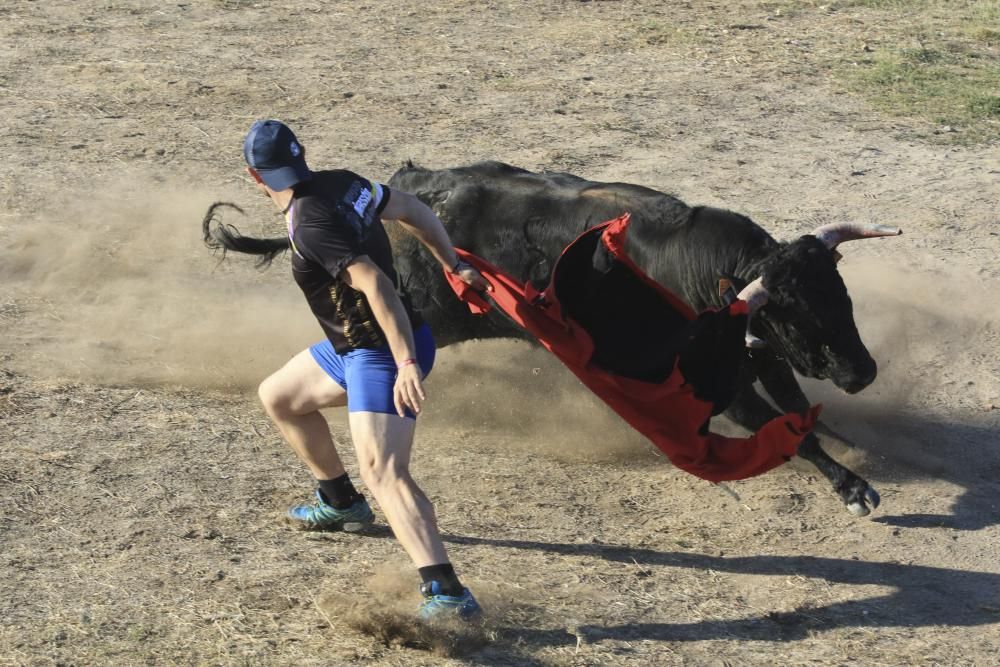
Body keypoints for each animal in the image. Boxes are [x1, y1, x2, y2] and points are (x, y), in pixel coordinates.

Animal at [386, 160, 904, 516]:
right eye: (796, 319)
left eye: (842, 297)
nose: (862, 374)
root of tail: (415, 184)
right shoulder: (728, 390)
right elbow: (789, 431)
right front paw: (853, 489)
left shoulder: (768, 360)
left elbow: (798, 409)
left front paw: (845, 442)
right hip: (431, 310)